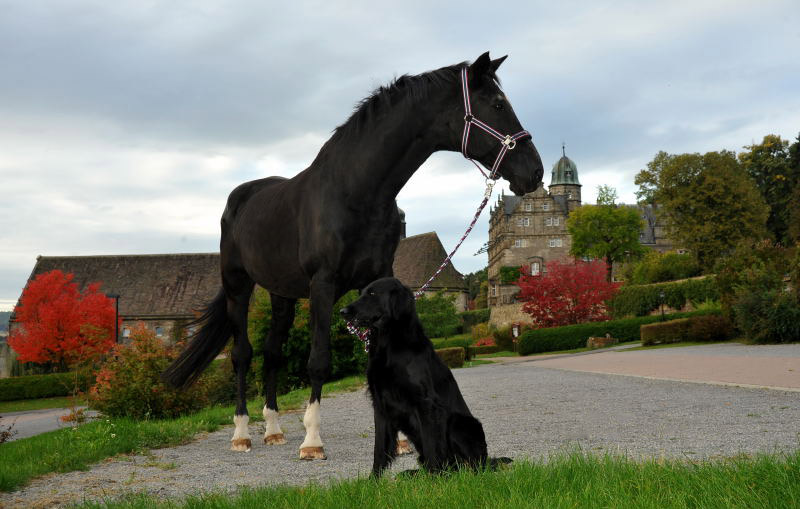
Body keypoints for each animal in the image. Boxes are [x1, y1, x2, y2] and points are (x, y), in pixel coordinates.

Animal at [340, 276, 506, 474]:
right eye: (362, 293)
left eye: (372, 294)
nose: (342, 311)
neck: (389, 345)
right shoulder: (380, 404)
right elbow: (379, 449)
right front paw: (373, 479)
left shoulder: (426, 403)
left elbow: (431, 445)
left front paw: (435, 478)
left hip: (460, 423)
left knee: (472, 465)